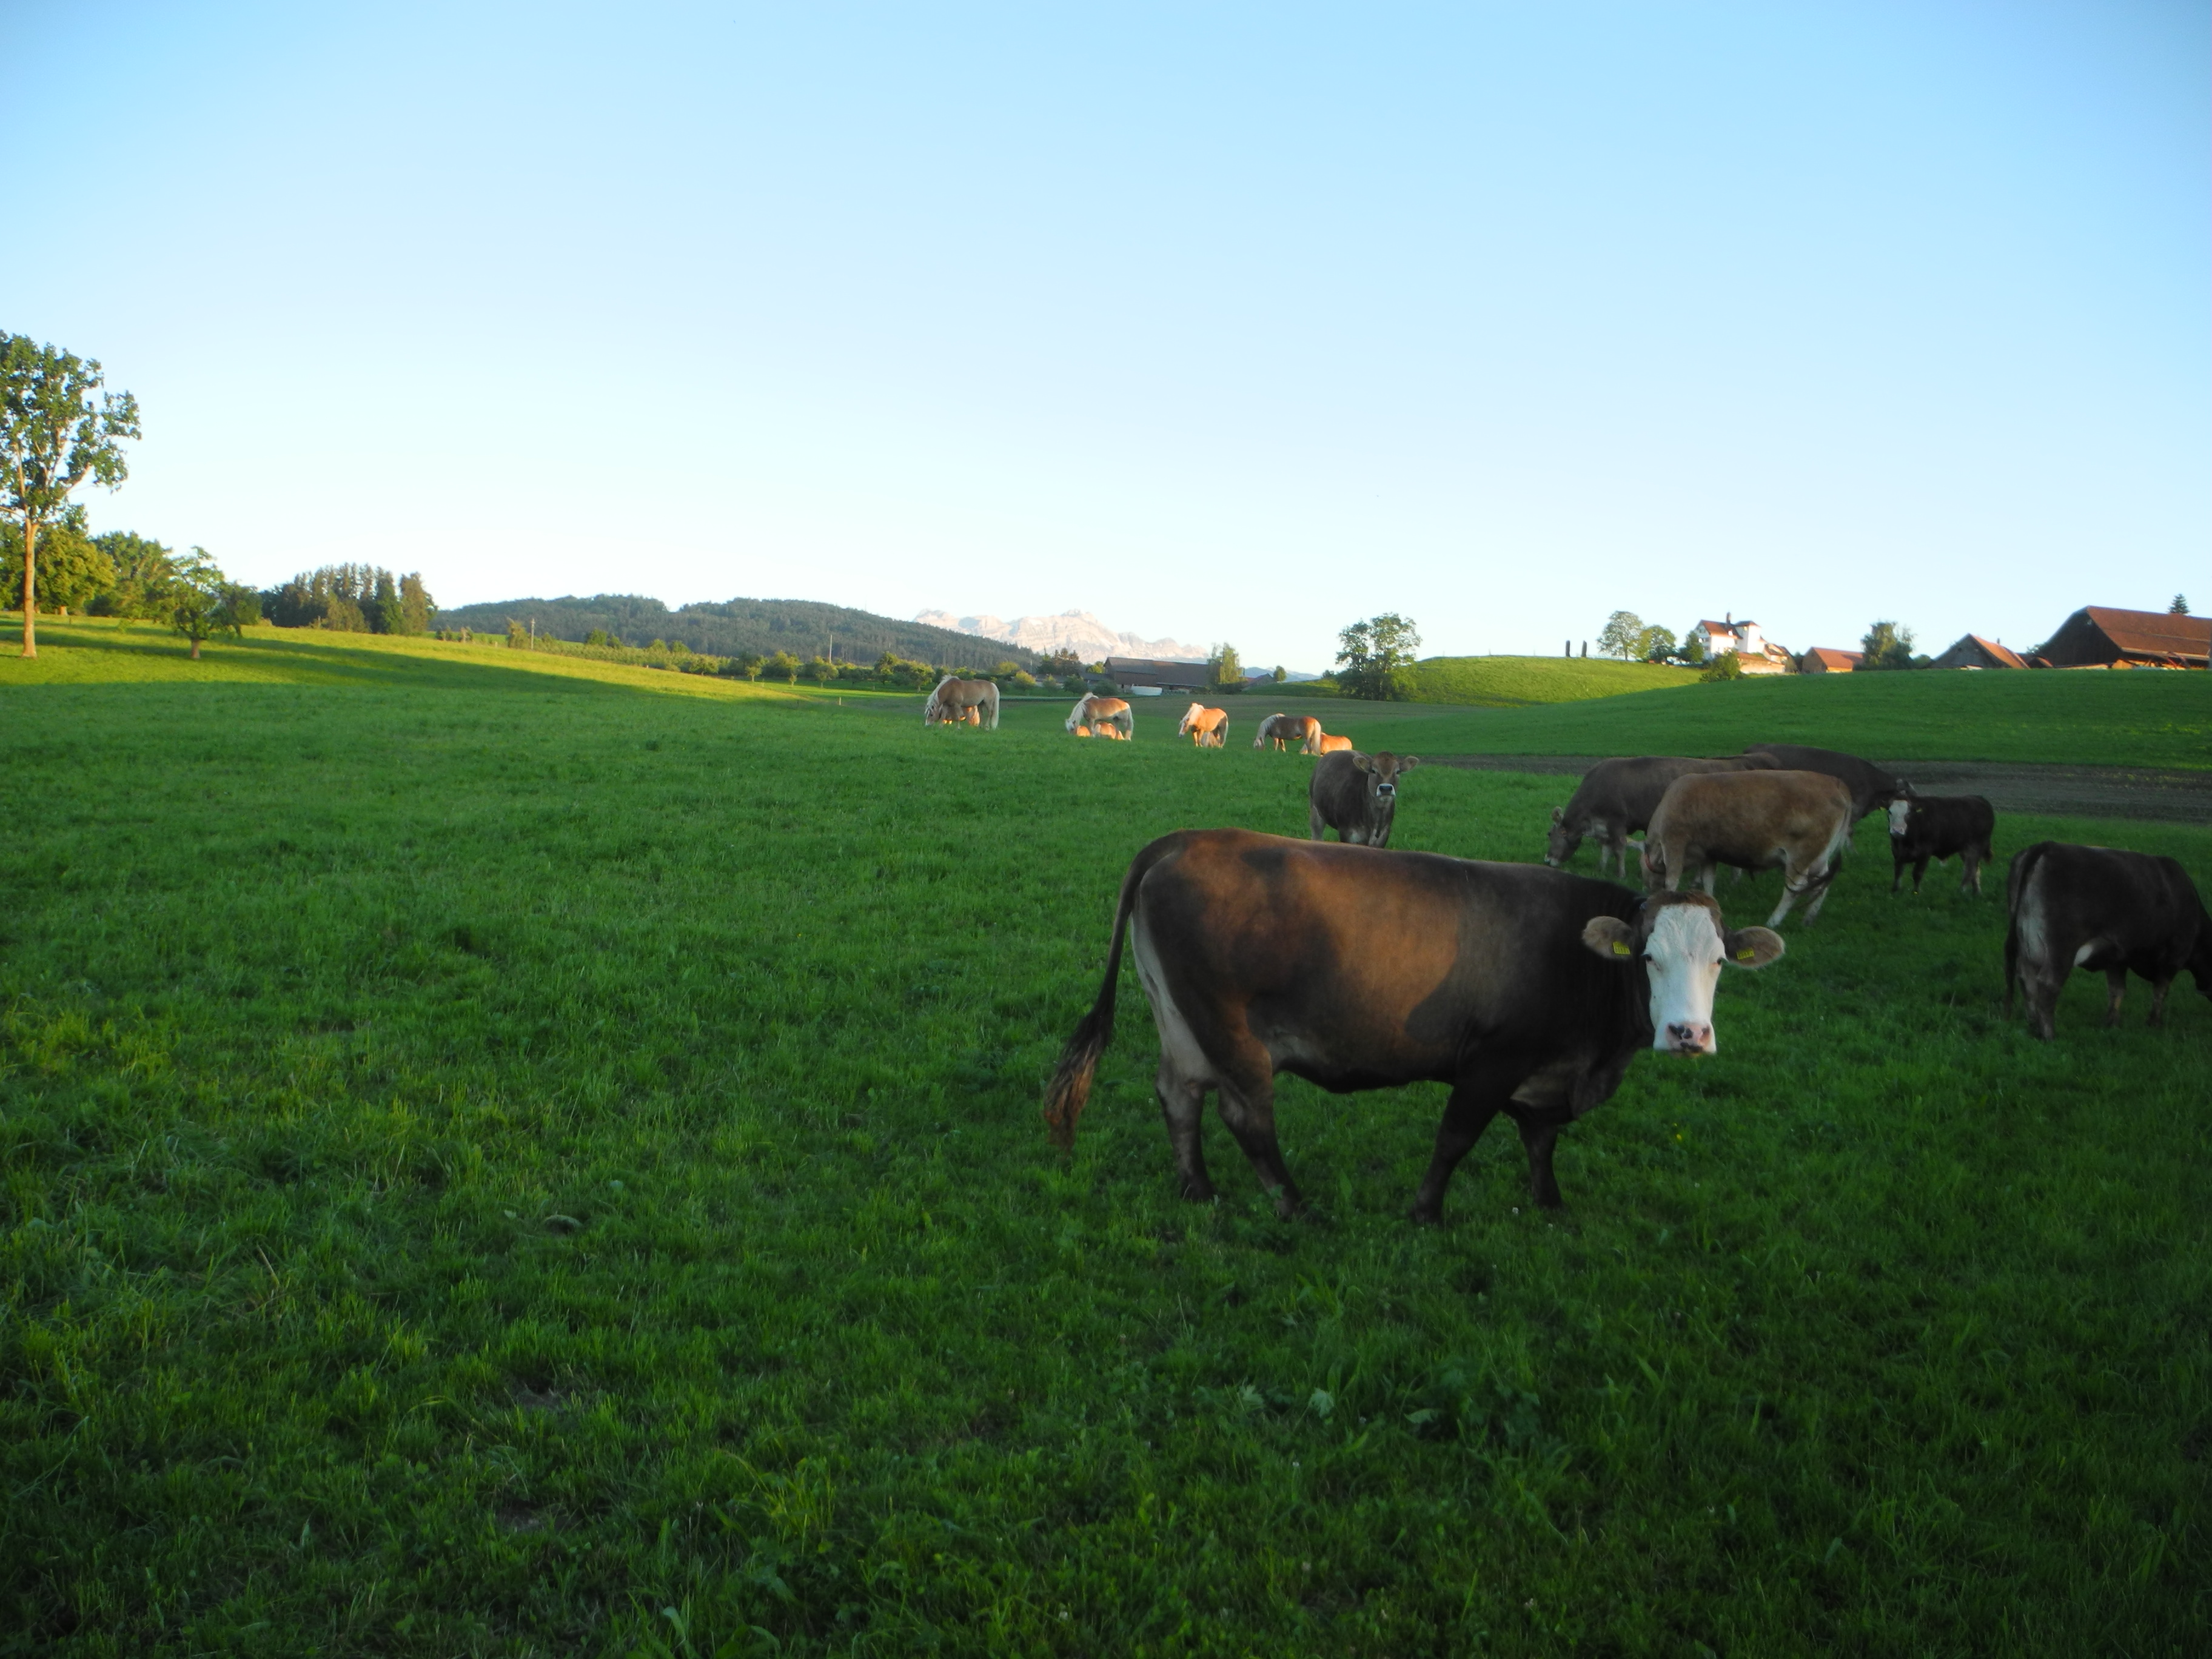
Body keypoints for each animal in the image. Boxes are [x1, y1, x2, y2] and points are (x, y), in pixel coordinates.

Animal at [924, 677, 1004, 729]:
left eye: (931, 715)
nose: (927, 725)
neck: (950, 689)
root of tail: (992, 684)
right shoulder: (946, 705)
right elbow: (943, 716)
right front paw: (940, 727)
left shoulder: (957, 705)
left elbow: (958, 717)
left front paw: (958, 728)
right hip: (980, 705)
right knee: (981, 715)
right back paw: (980, 727)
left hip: (988, 703)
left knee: (990, 714)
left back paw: (986, 727)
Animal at [1044, 831, 1787, 1221]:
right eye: (1649, 958)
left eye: (1720, 961)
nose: (1688, 1034)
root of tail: (1189, 841)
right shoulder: (1494, 1059)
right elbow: (1456, 1137)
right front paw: (1426, 1211)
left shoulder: (1547, 1072)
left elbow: (1541, 1140)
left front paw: (1549, 1203)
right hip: (1231, 1031)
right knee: (1246, 1117)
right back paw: (1294, 1206)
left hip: (1179, 1019)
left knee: (1180, 1095)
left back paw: (1197, 1189)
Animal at [1548, 756, 1787, 885]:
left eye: (1550, 834)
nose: (1547, 860)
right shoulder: (1605, 827)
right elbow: (1605, 850)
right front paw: (1601, 869)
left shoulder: (1618, 822)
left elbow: (1619, 850)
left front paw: (1621, 874)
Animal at [1885, 796, 2008, 898]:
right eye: (1890, 812)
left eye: (1908, 813)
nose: (1897, 831)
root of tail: (1979, 799)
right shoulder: (1897, 853)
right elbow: (1898, 872)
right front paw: (1895, 890)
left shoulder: (1925, 853)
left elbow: (1917, 874)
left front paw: (1916, 892)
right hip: (1965, 850)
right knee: (1976, 871)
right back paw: (1976, 892)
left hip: (1975, 847)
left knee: (1970, 870)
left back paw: (1961, 891)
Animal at [2008, 845, 2212, 1039]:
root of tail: (2048, 846)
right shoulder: (2174, 957)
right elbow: (2160, 991)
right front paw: (2154, 1023)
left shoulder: (2117, 959)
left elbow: (2117, 990)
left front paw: (2111, 1023)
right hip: (2060, 949)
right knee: (2049, 984)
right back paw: (2049, 1035)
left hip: (2027, 944)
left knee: (2027, 980)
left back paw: (2033, 1026)